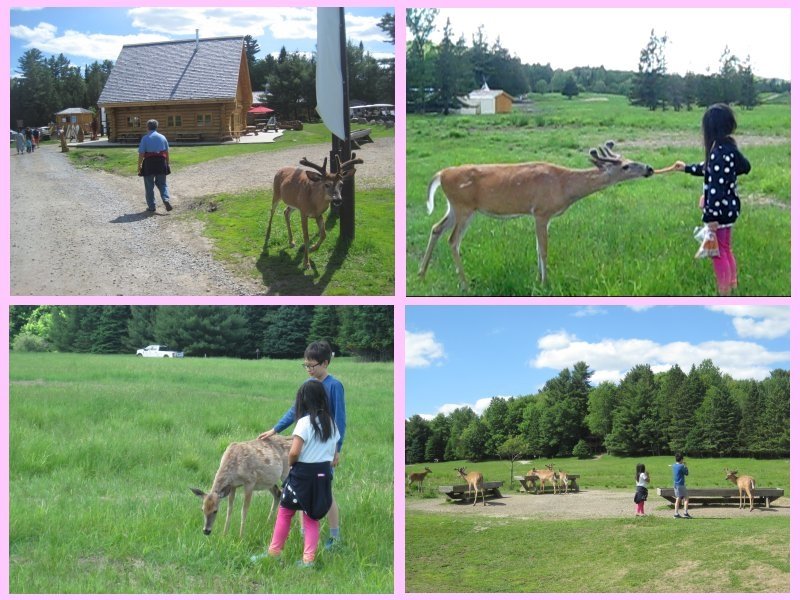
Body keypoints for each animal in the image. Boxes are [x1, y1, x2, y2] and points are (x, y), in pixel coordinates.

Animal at [416, 142, 660, 290]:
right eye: (626, 166)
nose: (649, 168)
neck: (565, 186)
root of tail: (442, 174)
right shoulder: (542, 211)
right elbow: (543, 249)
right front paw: (545, 283)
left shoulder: (542, 216)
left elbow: (536, 248)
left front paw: (537, 279)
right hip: (464, 207)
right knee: (452, 240)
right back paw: (465, 284)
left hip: (454, 207)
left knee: (436, 228)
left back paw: (421, 274)